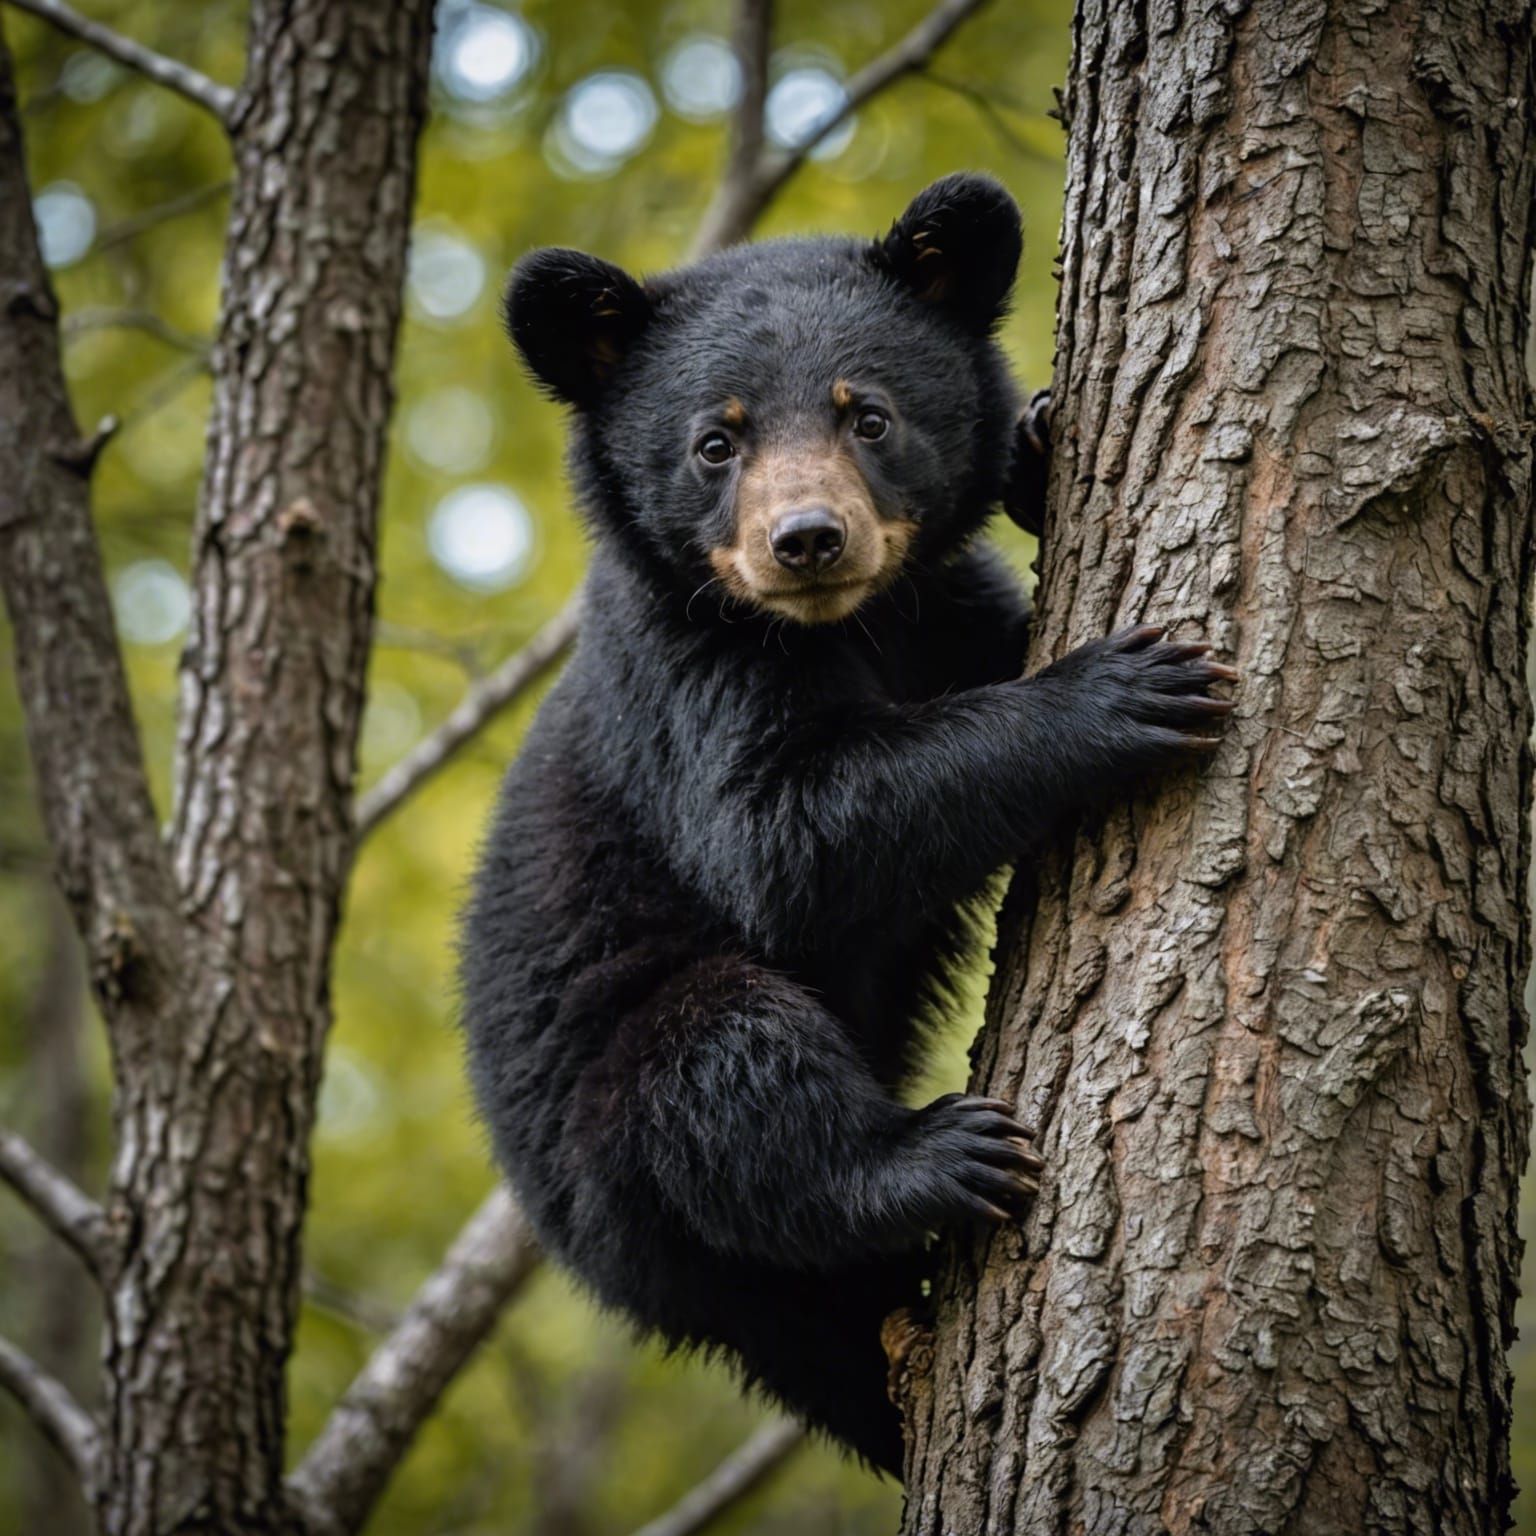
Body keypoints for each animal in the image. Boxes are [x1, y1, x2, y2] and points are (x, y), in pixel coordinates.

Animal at [460, 173, 1234, 1477]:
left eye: (866, 415)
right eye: (715, 441)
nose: (807, 540)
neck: (852, 626)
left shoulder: (939, 611)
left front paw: (1036, 451)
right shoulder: (688, 676)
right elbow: (787, 836)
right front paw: (1125, 692)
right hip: (615, 1120)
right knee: (729, 1073)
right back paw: (929, 1157)